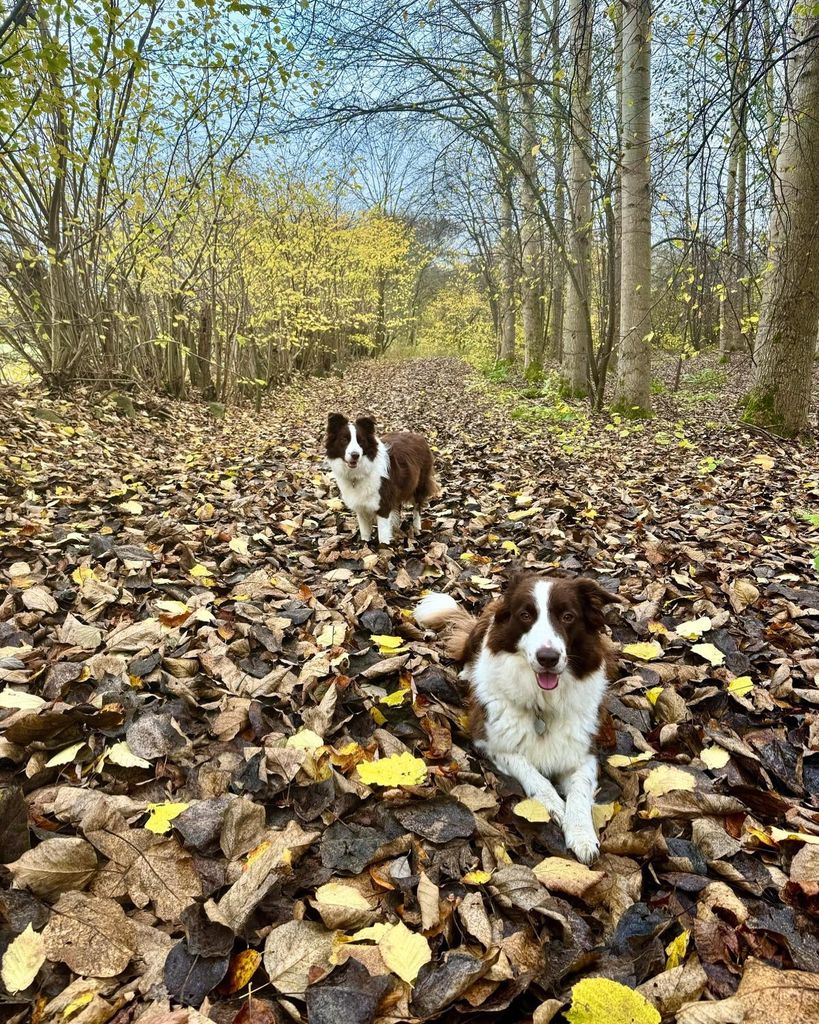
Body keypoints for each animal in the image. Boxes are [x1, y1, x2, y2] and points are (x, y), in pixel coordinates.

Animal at [327, 413, 442, 548]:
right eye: (344, 440)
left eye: (361, 441)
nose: (355, 455)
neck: (360, 472)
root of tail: (418, 436)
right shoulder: (361, 508)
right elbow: (365, 533)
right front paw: (364, 545)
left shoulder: (383, 505)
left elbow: (382, 534)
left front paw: (384, 547)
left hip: (419, 485)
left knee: (417, 508)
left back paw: (417, 528)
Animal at [415, 577, 622, 864]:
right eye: (525, 615)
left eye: (568, 617)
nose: (548, 658)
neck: (542, 706)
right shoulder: (489, 741)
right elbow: (532, 773)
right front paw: (554, 805)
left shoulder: (585, 752)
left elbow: (579, 793)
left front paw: (581, 835)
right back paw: (468, 673)